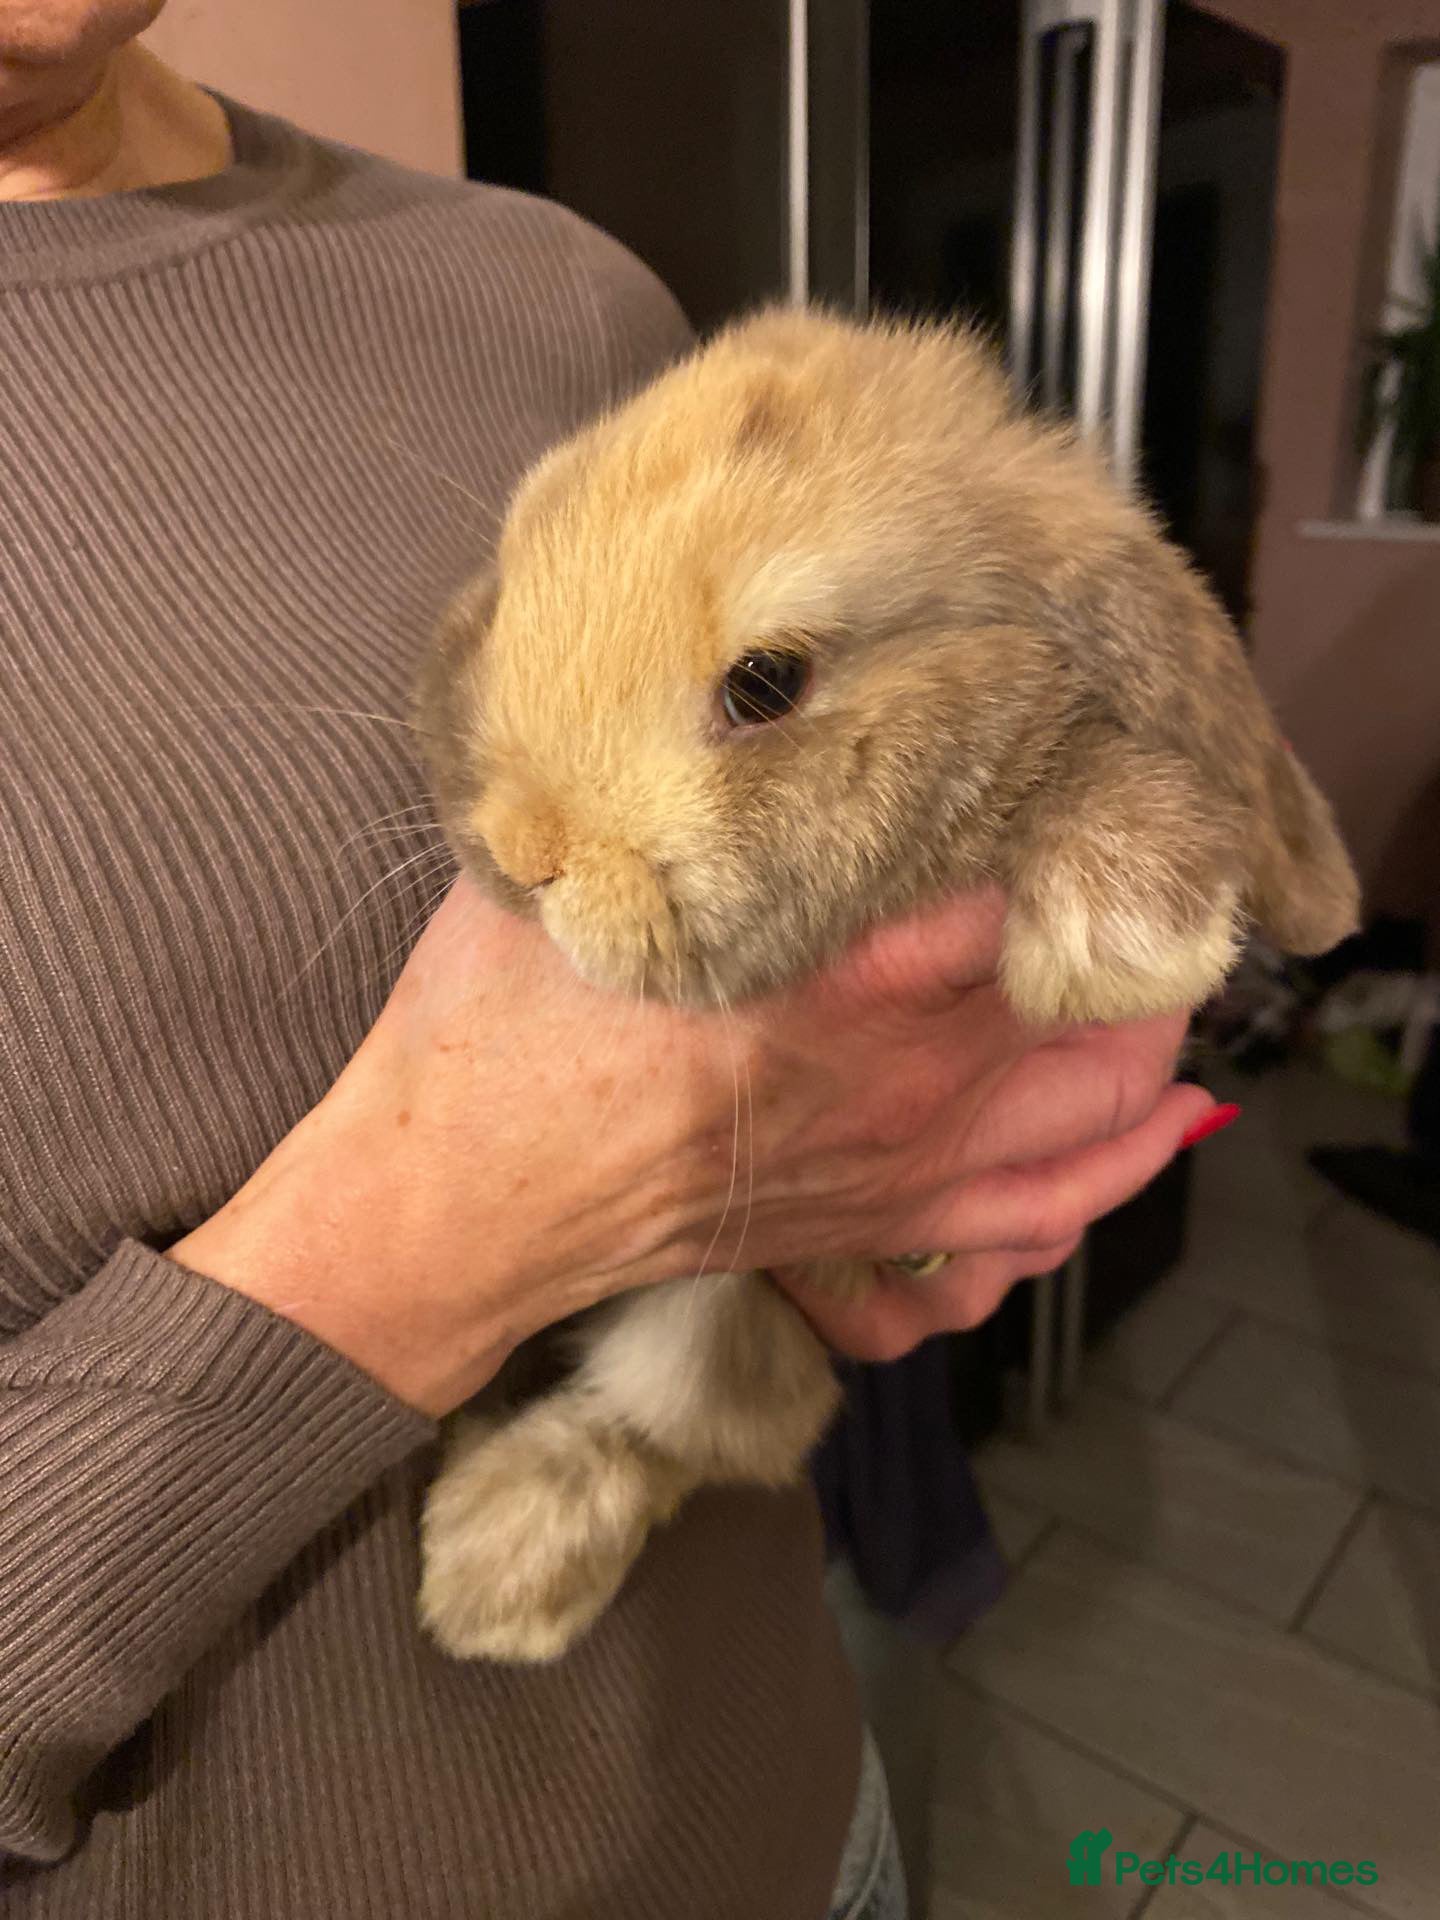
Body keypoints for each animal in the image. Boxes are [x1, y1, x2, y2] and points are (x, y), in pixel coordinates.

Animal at [413, 306, 1359, 1662]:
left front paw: (1125, 924)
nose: (528, 849)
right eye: (510, 597)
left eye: (765, 683)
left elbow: (1068, 764)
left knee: (681, 1428)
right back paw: (491, 1574)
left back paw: (492, 1572)